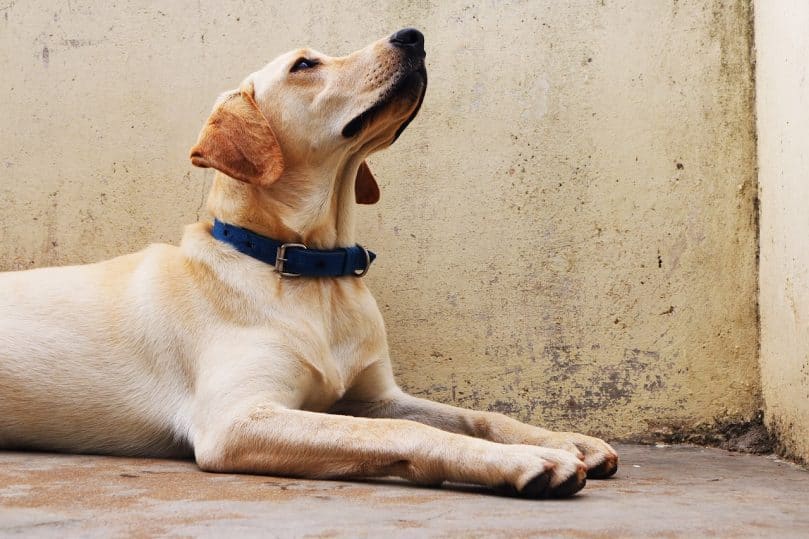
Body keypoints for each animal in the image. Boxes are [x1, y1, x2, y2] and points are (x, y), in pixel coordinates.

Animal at [0, 29, 616, 500]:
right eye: (305, 65)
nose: (413, 35)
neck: (311, 271)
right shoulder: (238, 420)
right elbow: (399, 435)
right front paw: (526, 460)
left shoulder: (376, 397)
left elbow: (474, 415)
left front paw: (563, 439)